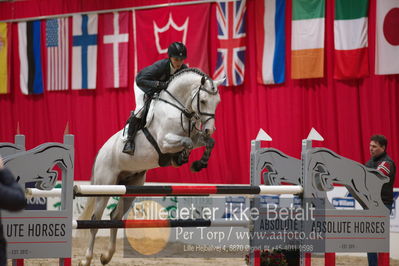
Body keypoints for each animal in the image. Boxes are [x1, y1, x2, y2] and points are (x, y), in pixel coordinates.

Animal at [77, 68, 222, 266]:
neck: (178, 108)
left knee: (115, 217)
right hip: (105, 186)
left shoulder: (195, 136)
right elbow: (186, 142)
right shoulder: (165, 141)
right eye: (203, 101)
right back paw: (87, 259)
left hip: (132, 185)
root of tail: (100, 152)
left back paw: (107, 256)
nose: (209, 129)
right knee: (95, 221)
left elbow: (207, 142)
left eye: (217, 102)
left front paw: (199, 164)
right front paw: (182, 158)